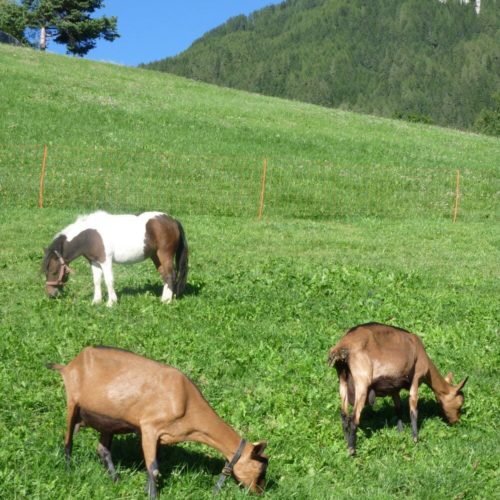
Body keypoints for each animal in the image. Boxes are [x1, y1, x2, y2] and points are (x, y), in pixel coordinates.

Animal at [42, 210, 188, 306]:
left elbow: (108, 280)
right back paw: (164, 298)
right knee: (165, 275)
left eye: (54, 272)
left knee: (170, 275)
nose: (51, 294)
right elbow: (96, 281)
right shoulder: (94, 262)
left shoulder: (105, 260)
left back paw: (166, 301)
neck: (90, 236)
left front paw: (111, 302)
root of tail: (172, 220)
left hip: (165, 254)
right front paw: (96, 301)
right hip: (155, 256)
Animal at [48, 348, 268, 496]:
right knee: (68, 440)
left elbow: (151, 467)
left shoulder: (160, 437)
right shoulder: (148, 427)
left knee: (103, 449)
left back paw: (116, 479)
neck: (186, 401)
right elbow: (153, 469)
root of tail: (70, 364)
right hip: (72, 401)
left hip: (108, 422)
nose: (260, 491)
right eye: (260, 469)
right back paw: (69, 470)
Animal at [328, 322, 464, 456]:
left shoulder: (393, 388)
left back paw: (346, 443)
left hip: (342, 380)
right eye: (460, 403)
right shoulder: (417, 377)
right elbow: (413, 410)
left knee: (344, 416)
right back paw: (352, 450)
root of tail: (343, 345)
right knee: (353, 419)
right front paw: (415, 439)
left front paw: (400, 432)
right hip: (362, 381)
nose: (456, 421)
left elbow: (398, 409)